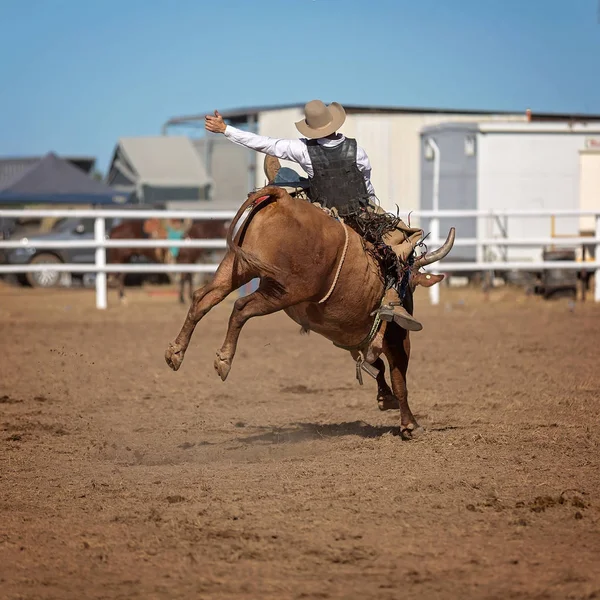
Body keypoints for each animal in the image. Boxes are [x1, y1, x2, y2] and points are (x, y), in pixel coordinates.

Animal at [164, 185, 454, 438]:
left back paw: (175, 352)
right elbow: (398, 377)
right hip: (284, 290)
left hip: (236, 267)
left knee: (203, 298)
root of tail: (283, 198)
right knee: (240, 308)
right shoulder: (396, 338)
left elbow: (378, 366)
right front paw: (409, 424)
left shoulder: (358, 340)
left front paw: (385, 397)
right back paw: (223, 360)